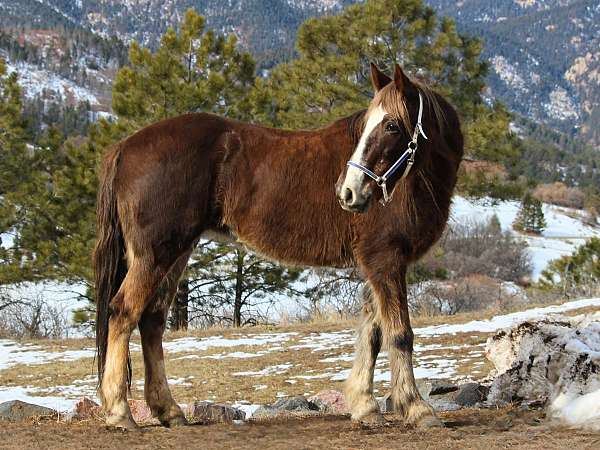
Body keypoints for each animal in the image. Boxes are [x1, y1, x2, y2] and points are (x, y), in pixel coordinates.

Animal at [94, 63, 464, 428]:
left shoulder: (379, 264)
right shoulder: (385, 259)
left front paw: (365, 406)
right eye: (369, 126)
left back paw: (168, 410)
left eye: (390, 125)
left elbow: (373, 333)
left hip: (176, 253)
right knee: (123, 312)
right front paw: (417, 408)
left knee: (152, 320)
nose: (348, 191)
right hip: (156, 254)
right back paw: (119, 411)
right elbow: (399, 333)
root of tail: (125, 146)